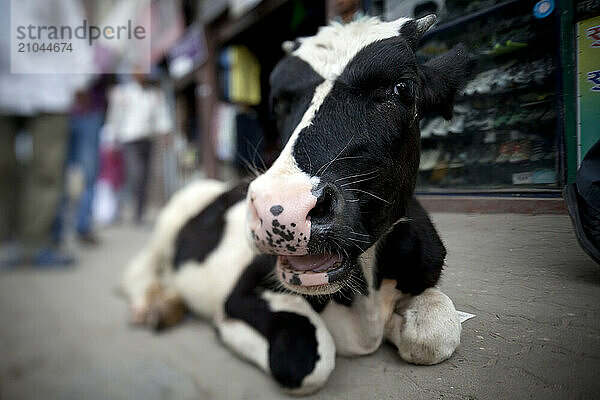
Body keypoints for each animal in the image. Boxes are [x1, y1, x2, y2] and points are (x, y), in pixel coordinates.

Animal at [122, 14, 468, 394]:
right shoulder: (242, 295)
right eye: (278, 102)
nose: (281, 205)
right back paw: (152, 306)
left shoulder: (425, 269)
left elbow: (436, 333)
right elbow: (303, 360)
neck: (364, 309)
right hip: (169, 221)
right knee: (137, 270)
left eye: (403, 88)